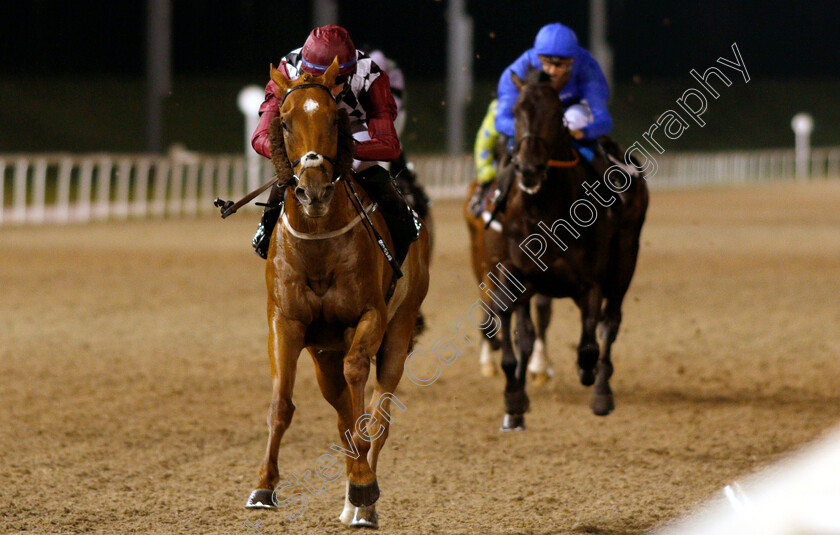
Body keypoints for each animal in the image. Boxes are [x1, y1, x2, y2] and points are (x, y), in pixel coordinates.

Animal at [241, 57, 426, 528]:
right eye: (284, 122)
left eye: (333, 119)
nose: (312, 189)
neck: (319, 245)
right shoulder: (284, 322)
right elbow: (281, 404)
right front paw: (263, 486)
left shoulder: (369, 316)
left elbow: (359, 383)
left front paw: (363, 487)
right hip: (322, 353)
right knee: (341, 407)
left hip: (399, 330)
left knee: (378, 412)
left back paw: (364, 501)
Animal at [476, 70, 648, 432]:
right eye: (516, 112)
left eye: (556, 115)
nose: (528, 168)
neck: (544, 209)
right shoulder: (514, 273)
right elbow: (517, 341)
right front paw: (514, 402)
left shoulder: (591, 282)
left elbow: (589, 343)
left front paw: (590, 375)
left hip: (626, 257)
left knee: (610, 322)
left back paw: (601, 390)